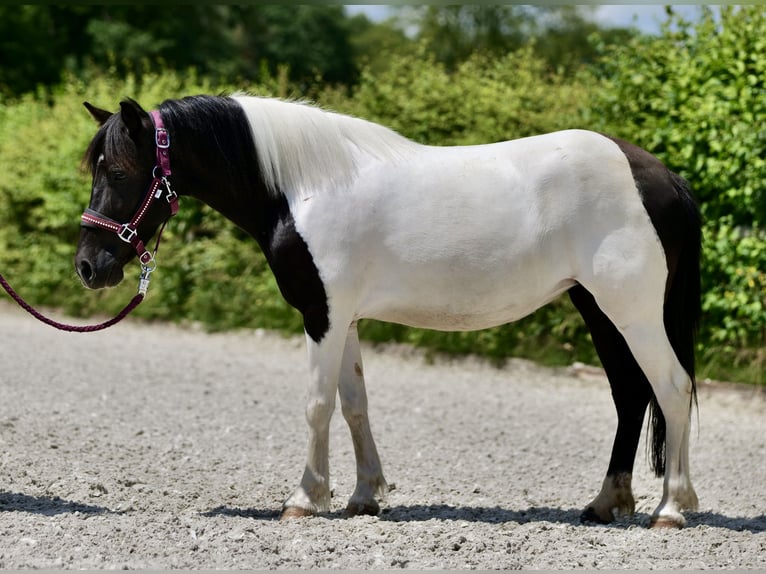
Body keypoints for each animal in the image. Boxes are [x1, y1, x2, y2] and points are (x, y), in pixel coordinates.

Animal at [73, 95, 704, 532]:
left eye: (120, 172)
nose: (89, 266)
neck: (304, 187)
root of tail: (660, 175)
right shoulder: (344, 318)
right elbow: (355, 406)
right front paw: (363, 497)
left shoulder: (322, 315)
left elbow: (317, 404)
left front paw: (305, 500)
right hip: (596, 307)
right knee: (630, 394)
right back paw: (606, 502)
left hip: (630, 309)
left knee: (670, 388)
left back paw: (671, 508)